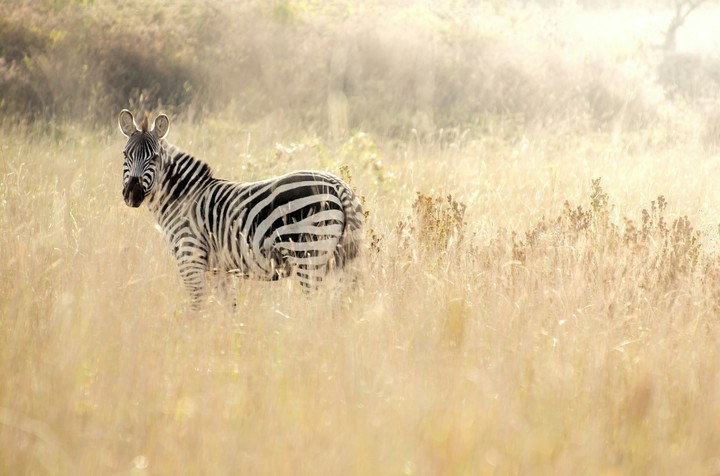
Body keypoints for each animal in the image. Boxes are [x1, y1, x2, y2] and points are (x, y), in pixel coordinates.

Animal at [118, 110, 363, 309]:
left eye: (154, 158)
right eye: (125, 155)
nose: (132, 195)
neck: (182, 197)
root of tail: (338, 185)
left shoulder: (190, 257)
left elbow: (197, 306)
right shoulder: (218, 268)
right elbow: (230, 308)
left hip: (309, 254)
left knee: (317, 307)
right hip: (341, 260)